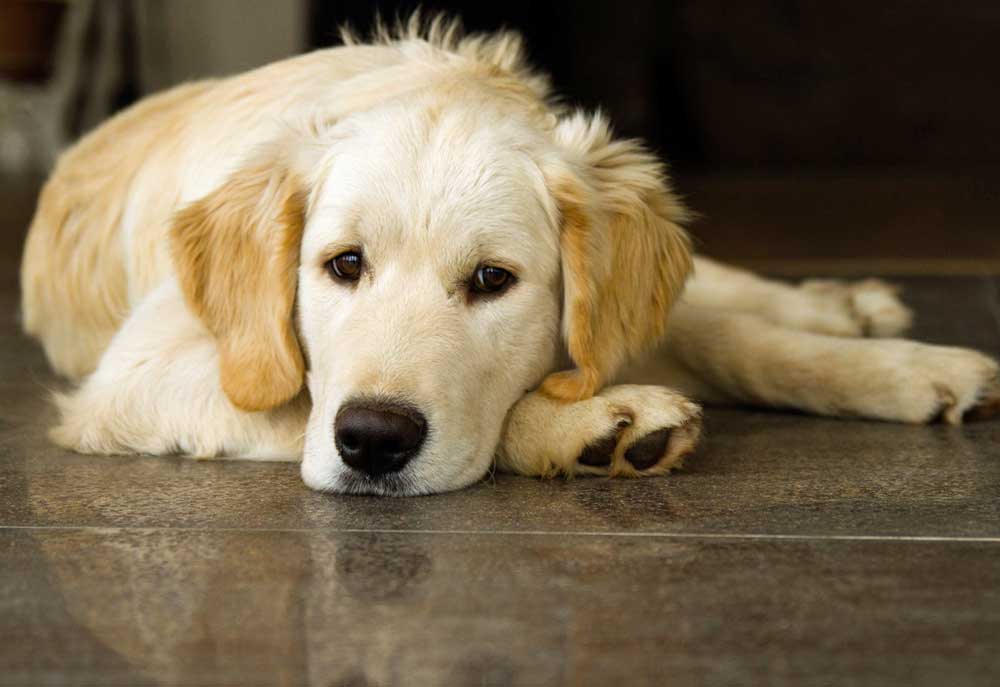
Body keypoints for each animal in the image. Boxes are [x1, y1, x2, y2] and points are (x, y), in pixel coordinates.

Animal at [17, 14, 1000, 494]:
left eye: (493, 280)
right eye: (343, 265)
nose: (373, 442)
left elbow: (741, 343)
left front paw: (911, 369)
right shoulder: (129, 381)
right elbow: (300, 397)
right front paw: (591, 426)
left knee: (718, 301)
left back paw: (849, 305)